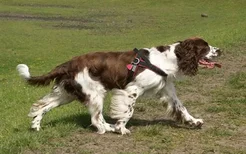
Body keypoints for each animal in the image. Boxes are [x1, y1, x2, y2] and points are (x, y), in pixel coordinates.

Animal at [17, 36, 221, 134]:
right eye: (205, 47)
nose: (219, 50)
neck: (168, 59)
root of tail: (69, 63)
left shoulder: (167, 90)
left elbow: (182, 107)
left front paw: (194, 122)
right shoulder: (131, 90)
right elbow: (128, 112)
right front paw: (121, 128)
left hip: (67, 93)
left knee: (42, 106)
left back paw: (35, 126)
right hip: (95, 93)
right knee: (96, 120)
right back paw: (109, 128)